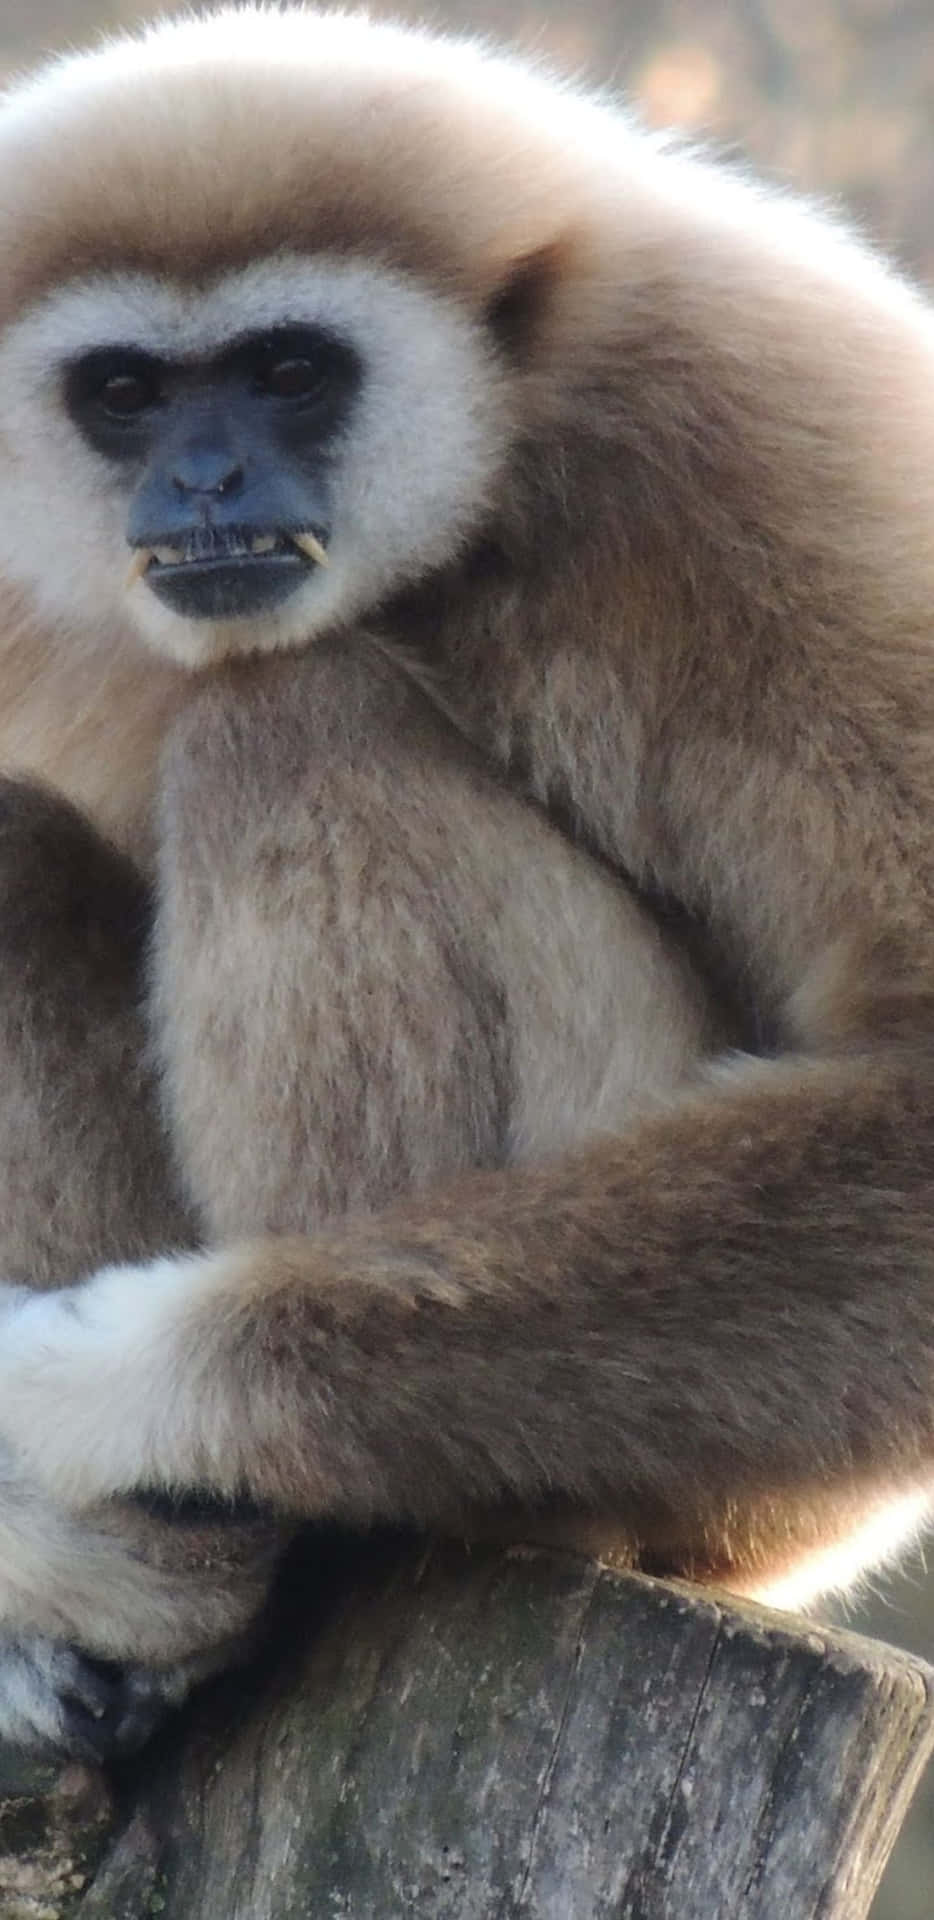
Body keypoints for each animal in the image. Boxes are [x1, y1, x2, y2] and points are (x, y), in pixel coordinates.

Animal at [0, 2, 933, 1747]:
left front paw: (104, 1387)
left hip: (712, 1496)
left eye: (289, 371)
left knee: (287, 721)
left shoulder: (775, 427)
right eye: (125, 392)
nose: (203, 480)